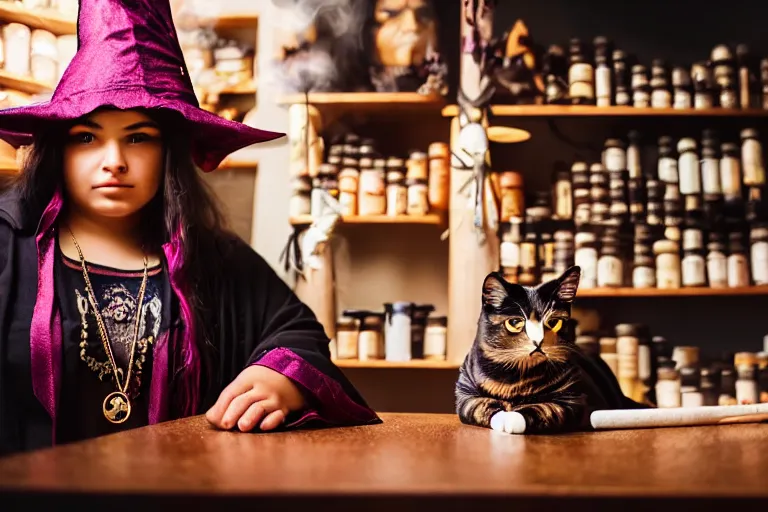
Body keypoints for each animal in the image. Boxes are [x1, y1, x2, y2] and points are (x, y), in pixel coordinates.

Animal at [452, 264, 644, 436]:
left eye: (554, 322)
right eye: (514, 322)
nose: (538, 341)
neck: (516, 380)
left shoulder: (574, 400)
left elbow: (547, 408)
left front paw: (513, 418)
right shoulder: (465, 396)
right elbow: (480, 406)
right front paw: (503, 416)